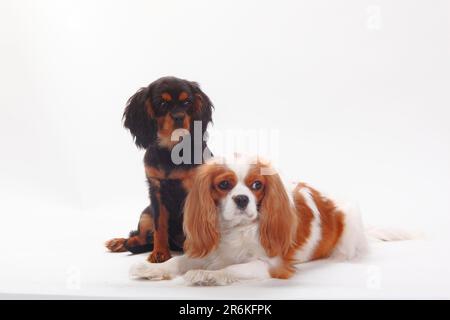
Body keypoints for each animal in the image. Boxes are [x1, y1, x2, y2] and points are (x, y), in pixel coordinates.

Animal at [105, 77, 213, 262]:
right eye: (162, 103)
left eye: (187, 102)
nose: (179, 117)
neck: (172, 150)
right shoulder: (156, 192)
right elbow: (159, 226)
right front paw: (160, 252)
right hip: (146, 214)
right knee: (141, 235)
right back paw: (122, 242)